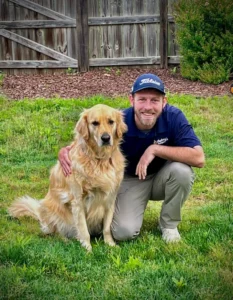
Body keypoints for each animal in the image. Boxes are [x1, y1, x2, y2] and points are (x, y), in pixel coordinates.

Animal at [8, 104, 127, 250]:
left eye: (111, 121)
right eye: (95, 123)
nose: (106, 138)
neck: (99, 160)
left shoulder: (110, 198)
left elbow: (107, 227)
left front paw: (110, 245)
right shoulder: (78, 201)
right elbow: (83, 230)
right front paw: (87, 249)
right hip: (52, 210)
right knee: (55, 231)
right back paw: (66, 240)